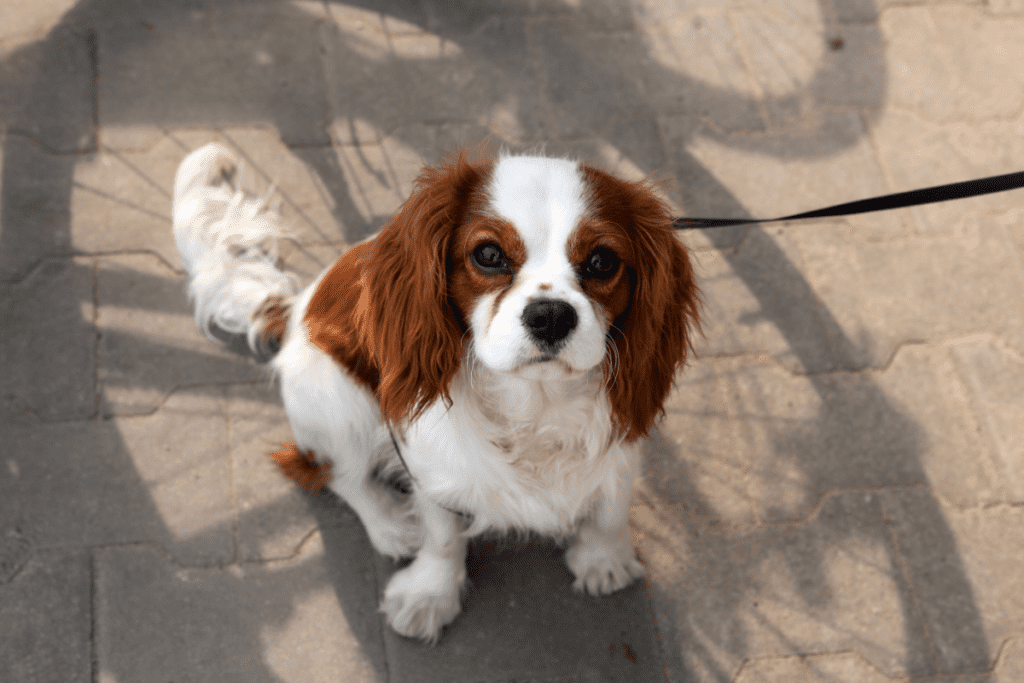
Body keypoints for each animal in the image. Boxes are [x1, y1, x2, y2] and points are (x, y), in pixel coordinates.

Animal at [172, 141, 700, 643]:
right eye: (488, 255)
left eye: (602, 261)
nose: (550, 315)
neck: (535, 402)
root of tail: (296, 306)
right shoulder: (431, 464)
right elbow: (442, 533)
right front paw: (430, 593)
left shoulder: (624, 436)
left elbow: (613, 499)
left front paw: (603, 558)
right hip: (333, 394)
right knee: (331, 473)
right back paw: (390, 526)